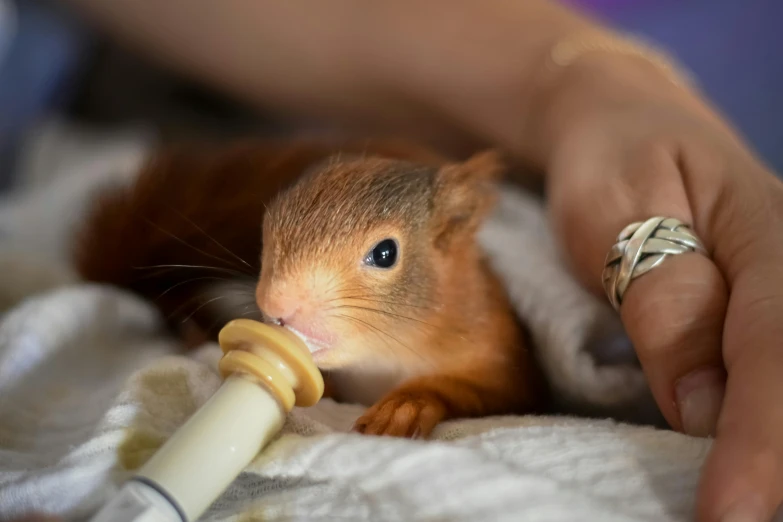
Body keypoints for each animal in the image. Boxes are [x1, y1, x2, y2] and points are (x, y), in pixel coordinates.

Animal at [76, 138, 548, 434]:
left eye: (386, 253)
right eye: (267, 226)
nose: (274, 302)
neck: (383, 356)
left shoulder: (504, 362)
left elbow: (480, 390)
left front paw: (403, 406)